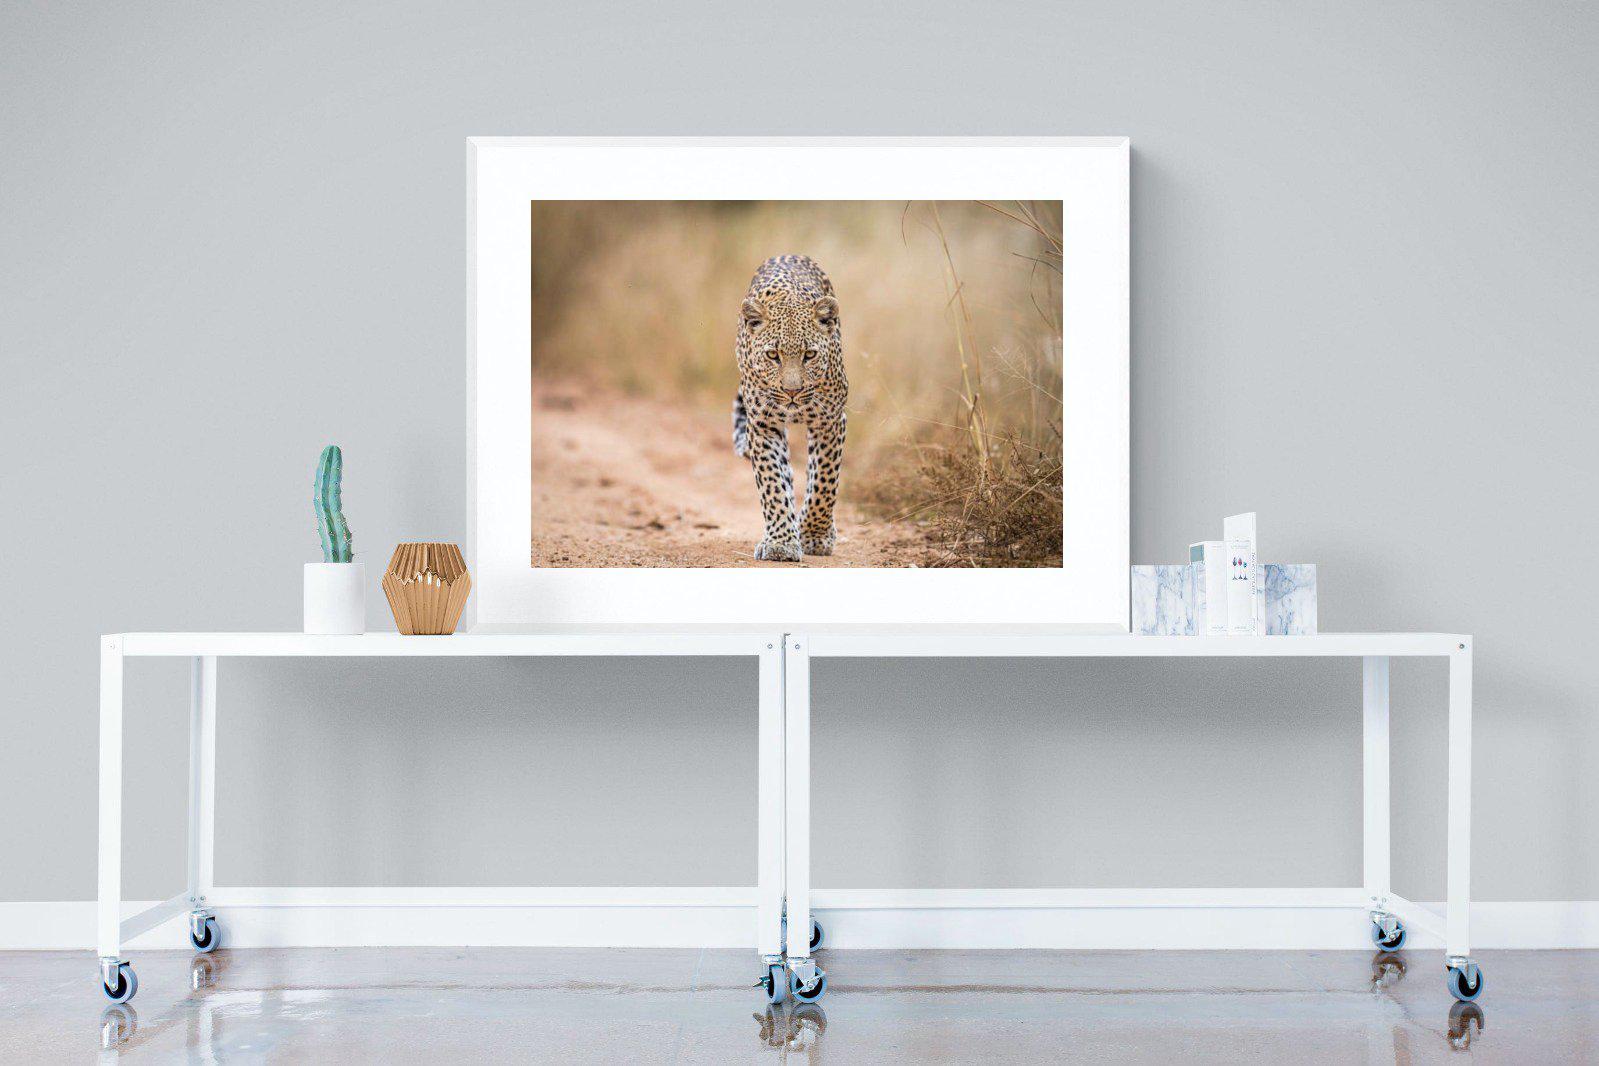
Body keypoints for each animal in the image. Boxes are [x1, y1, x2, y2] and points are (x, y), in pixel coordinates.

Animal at [731, 254, 848, 562]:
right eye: (773, 355)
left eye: (810, 355)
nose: (792, 391)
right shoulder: (762, 424)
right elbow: (772, 483)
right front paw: (781, 543)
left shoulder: (830, 420)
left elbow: (824, 482)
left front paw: (815, 535)